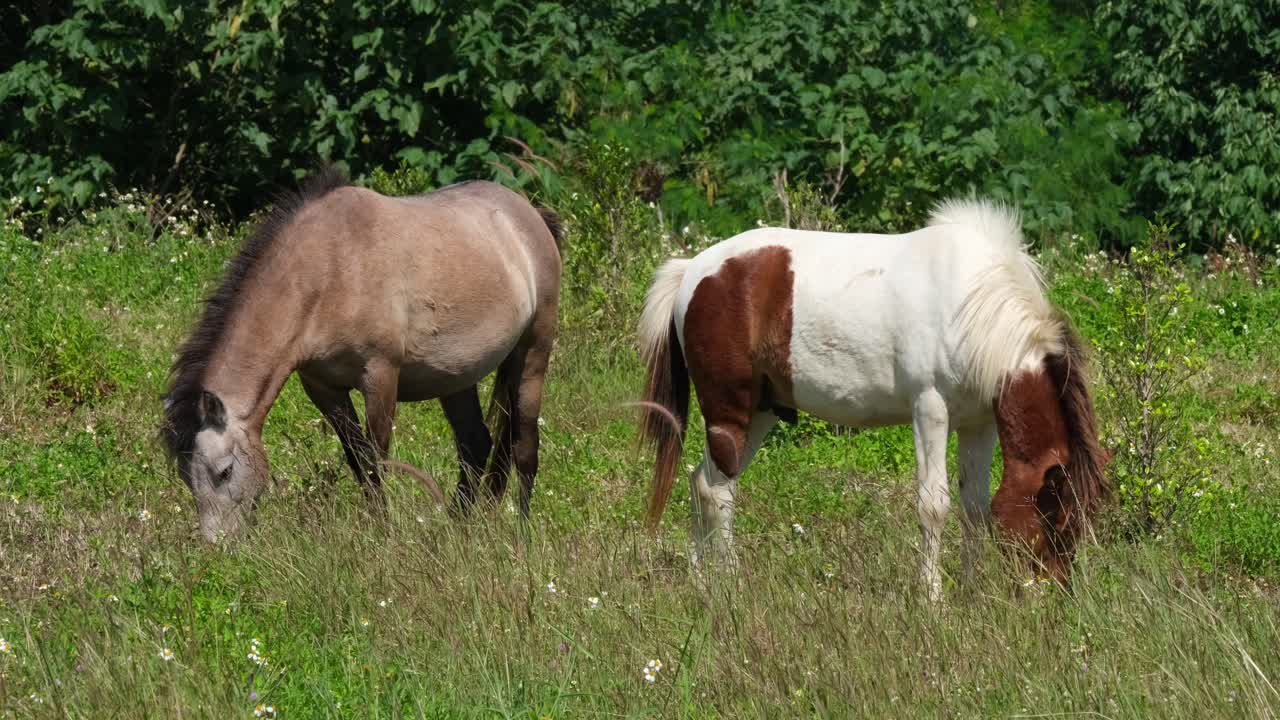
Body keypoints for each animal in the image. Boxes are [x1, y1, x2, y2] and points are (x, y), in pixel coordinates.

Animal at [161, 166, 563, 542]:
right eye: (185, 477)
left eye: (224, 471)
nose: (218, 547)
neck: (329, 271)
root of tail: (530, 214)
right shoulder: (322, 387)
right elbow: (356, 459)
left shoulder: (380, 375)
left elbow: (374, 460)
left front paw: (383, 535)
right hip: (456, 377)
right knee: (475, 445)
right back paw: (458, 530)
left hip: (532, 354)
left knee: (525, 448)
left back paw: (522, 536)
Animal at [637, 198, 1109, 600]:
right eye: (1059, 520)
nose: (1055, 595)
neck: (972, 307)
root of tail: (693, 272)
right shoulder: (930, 410)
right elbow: (934, 505)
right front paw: (932, 598)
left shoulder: (980, 423)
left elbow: (973, 506)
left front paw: (971, 593)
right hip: (729, 410)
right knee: (719, 492)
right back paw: (732, 580)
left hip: (761, 412)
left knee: (705, 482)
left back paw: (702, 581)